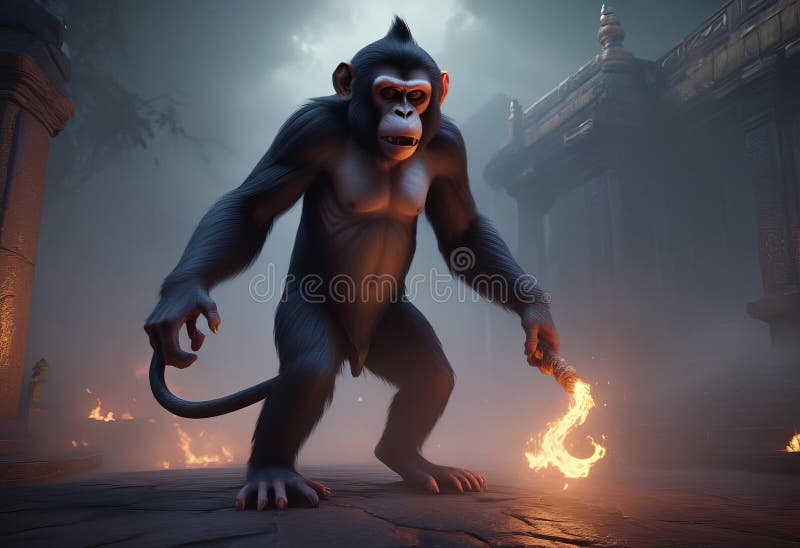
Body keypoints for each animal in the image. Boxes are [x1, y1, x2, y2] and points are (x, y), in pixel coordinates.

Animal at [145, 17, 559, 511]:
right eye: (388, 92)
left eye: (417, 96)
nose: (403, 113)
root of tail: (355, 355)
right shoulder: (306, 130)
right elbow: (250, 208)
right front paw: (181, 297)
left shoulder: (450, 145)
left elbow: (464, 233)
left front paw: (536, 315)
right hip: (310, 315)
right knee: (310, 369)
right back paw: (274, 473)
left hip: (388, 326)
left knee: (432, 376)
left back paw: (410, 460)